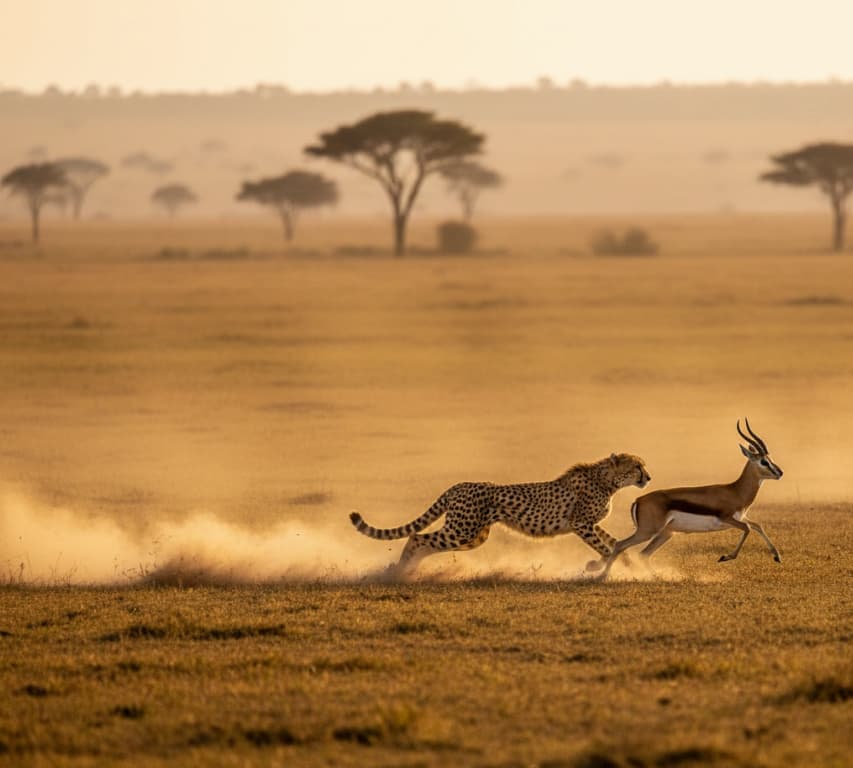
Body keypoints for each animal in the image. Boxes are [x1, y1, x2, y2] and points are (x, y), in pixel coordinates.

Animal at [350, 453, 651, 575]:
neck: (607, 480)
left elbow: (615, 543)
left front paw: (631, 565)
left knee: (423, 542)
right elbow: (606, 548)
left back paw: (404, 570)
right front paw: (601, 566)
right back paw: (400, 570)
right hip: (462, 531)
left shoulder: (590, 524)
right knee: (417, 538)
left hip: (474, 536)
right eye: (636, 466)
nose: (648, 477)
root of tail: (459, 485)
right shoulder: (581, 524)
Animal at [596, 419, 783, 580]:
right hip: (647, 532)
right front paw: (724, 557)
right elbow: (748, 528)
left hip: (666, 533)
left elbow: (757, 526)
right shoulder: (728, 519)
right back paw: (603, 576)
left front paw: (777, 556)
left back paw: (658, 577)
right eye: (764, 461)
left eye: (770, 459)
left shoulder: (740, 517)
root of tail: (638, 500)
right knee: (620, 545)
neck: (735, 491)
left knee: (643, 554)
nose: (780, 473)